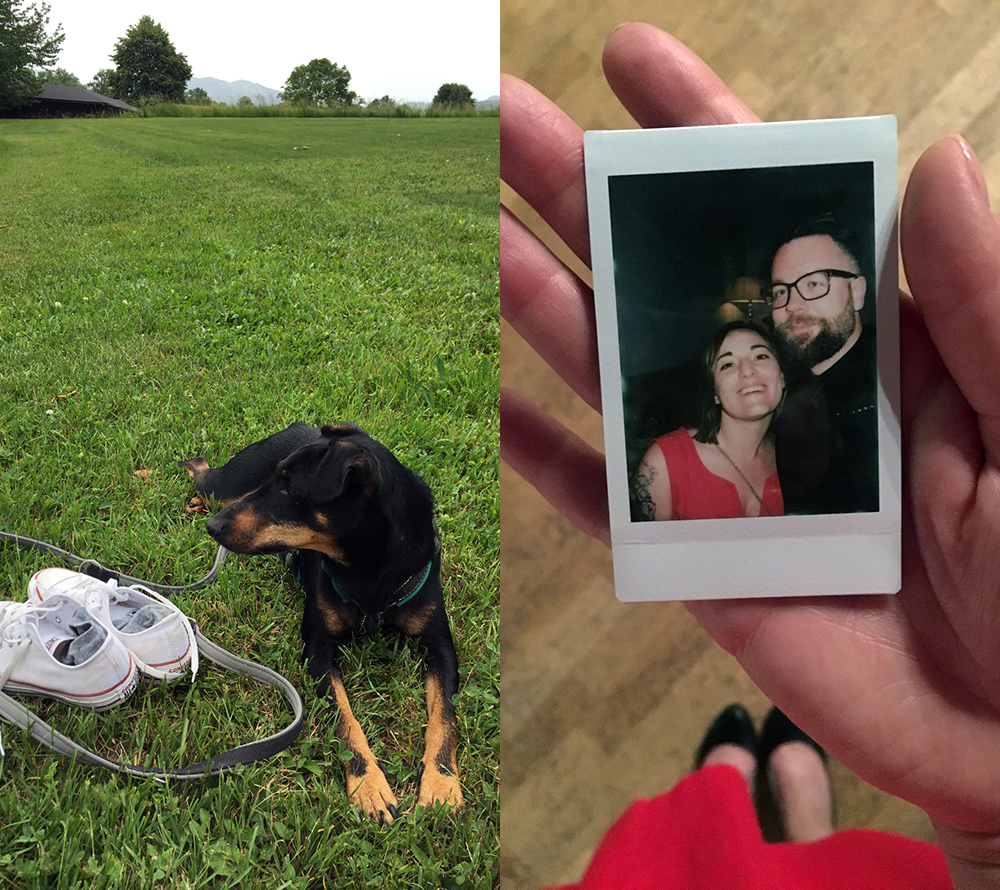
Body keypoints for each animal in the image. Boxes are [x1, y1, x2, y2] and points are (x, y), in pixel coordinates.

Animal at [180, 420, 460, 824]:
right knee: (202, 470)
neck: (368, 571)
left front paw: (441, 784)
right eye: (277, 480)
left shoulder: (440, 646)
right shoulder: (317, 650)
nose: (212, 528)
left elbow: (445, 716)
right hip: (225, 487)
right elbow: (346, 718)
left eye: (289, 489)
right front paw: (369, 786)